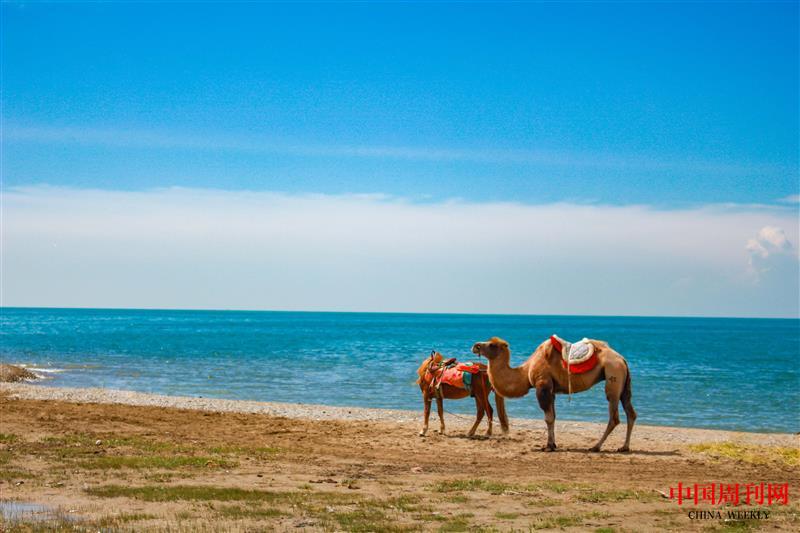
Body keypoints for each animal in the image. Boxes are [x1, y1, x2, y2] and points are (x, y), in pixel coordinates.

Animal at [472, 334, 636, 450]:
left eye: (492, 344)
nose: (476, 346)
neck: (526, 371)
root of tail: (622, 359)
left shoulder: (542, 385)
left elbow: (548, 418)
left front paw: (549, 446)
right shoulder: (551, 390)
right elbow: (554, 417)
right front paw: (553, 444)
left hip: (613, 375)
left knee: (614, 416)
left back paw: (596, 446)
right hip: (623, 383)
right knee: (630, 412)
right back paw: (624, 447)